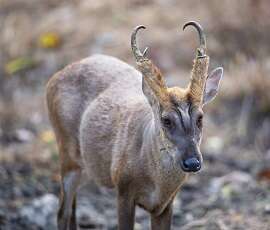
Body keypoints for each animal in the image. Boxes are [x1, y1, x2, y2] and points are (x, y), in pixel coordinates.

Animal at [46, 20, 224, 229]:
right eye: (166, 119)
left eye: (200, 117)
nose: (192, 162)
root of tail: (53, 78)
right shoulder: (123, 190)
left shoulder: (166, 204)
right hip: (66, 153)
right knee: (62, 211)